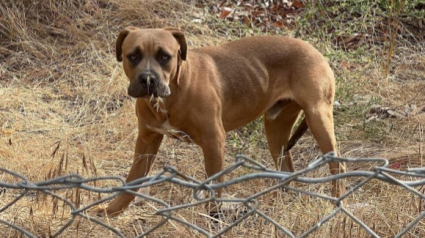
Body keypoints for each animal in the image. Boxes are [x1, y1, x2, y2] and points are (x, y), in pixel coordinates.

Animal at [98, 27, 344, 217]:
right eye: (133, 56)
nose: (148, 79)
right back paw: (279, 203)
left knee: (337, 164)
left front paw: (213, 219)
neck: (174, 89)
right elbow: (132, 180)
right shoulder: (146, 141)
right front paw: (112, 210)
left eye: (164, 57)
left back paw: (337, 205)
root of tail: (315, 50)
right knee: (286, 168)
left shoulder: (213, 141)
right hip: (276, 130)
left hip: (318, 117)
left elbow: (214, 187)